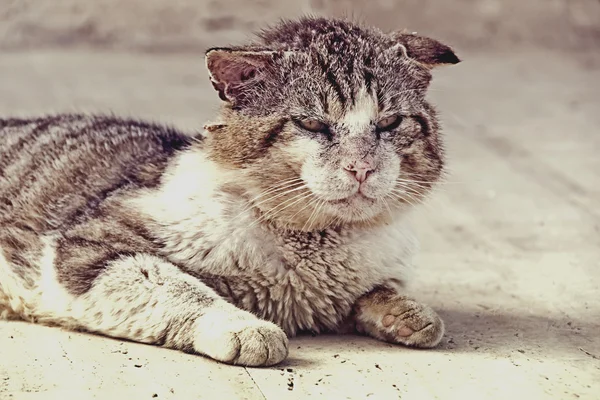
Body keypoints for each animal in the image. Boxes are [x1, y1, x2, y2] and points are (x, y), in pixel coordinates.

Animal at [0, 16, 460, 366]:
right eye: (311, 124)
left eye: (390, 123)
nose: (361, 167)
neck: (312, 250)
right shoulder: (90, 249)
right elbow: (183, 290)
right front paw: (247, 328)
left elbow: (376, 292)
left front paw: (410, 314)